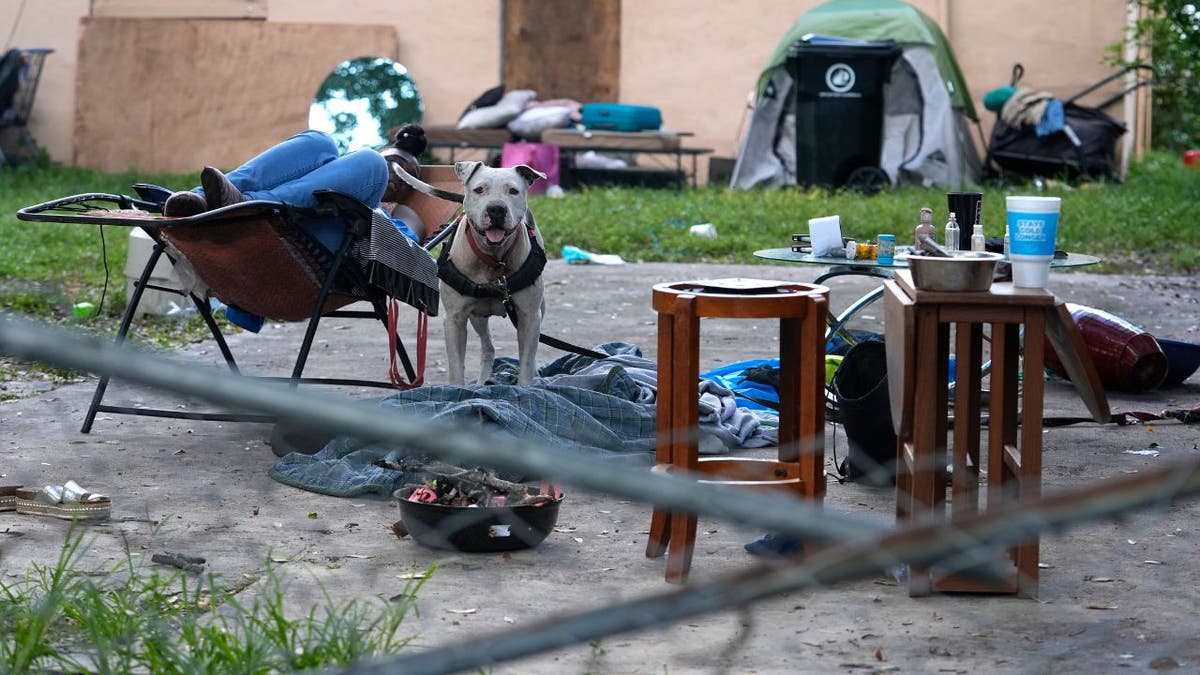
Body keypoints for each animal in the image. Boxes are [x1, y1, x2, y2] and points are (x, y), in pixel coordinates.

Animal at [439, 158, 547, 386]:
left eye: (513, 191)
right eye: (479, 189)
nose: (496, 209)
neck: (493, 259)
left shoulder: (529, 316)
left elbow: (526, 362)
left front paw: (526, 386)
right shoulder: (454, 319)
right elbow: (456, 366)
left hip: (540, 310)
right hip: (477, 316)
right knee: (488, 346)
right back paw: (482, 382)